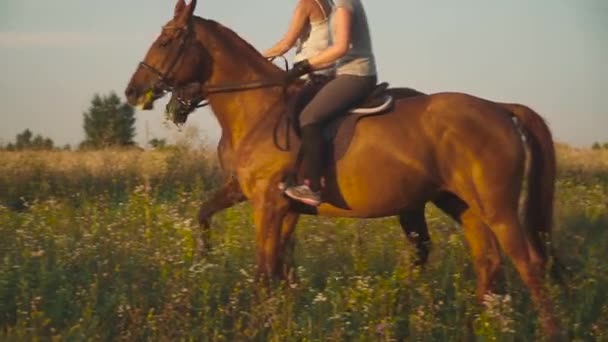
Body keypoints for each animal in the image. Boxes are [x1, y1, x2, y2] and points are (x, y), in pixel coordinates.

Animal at [126, 0, 560, 336]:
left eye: (166, 40)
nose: (133, 92)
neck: (260, 110)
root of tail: (498, 107)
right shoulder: (269, 201)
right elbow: (250, 244)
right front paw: (209, 257)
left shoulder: (267, 203)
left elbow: (266, 268)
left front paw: (257, 322)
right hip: (458, 203)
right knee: (488, 262)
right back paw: (479, 326)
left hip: (496, 206)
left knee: (530, 263)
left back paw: (545, 329)